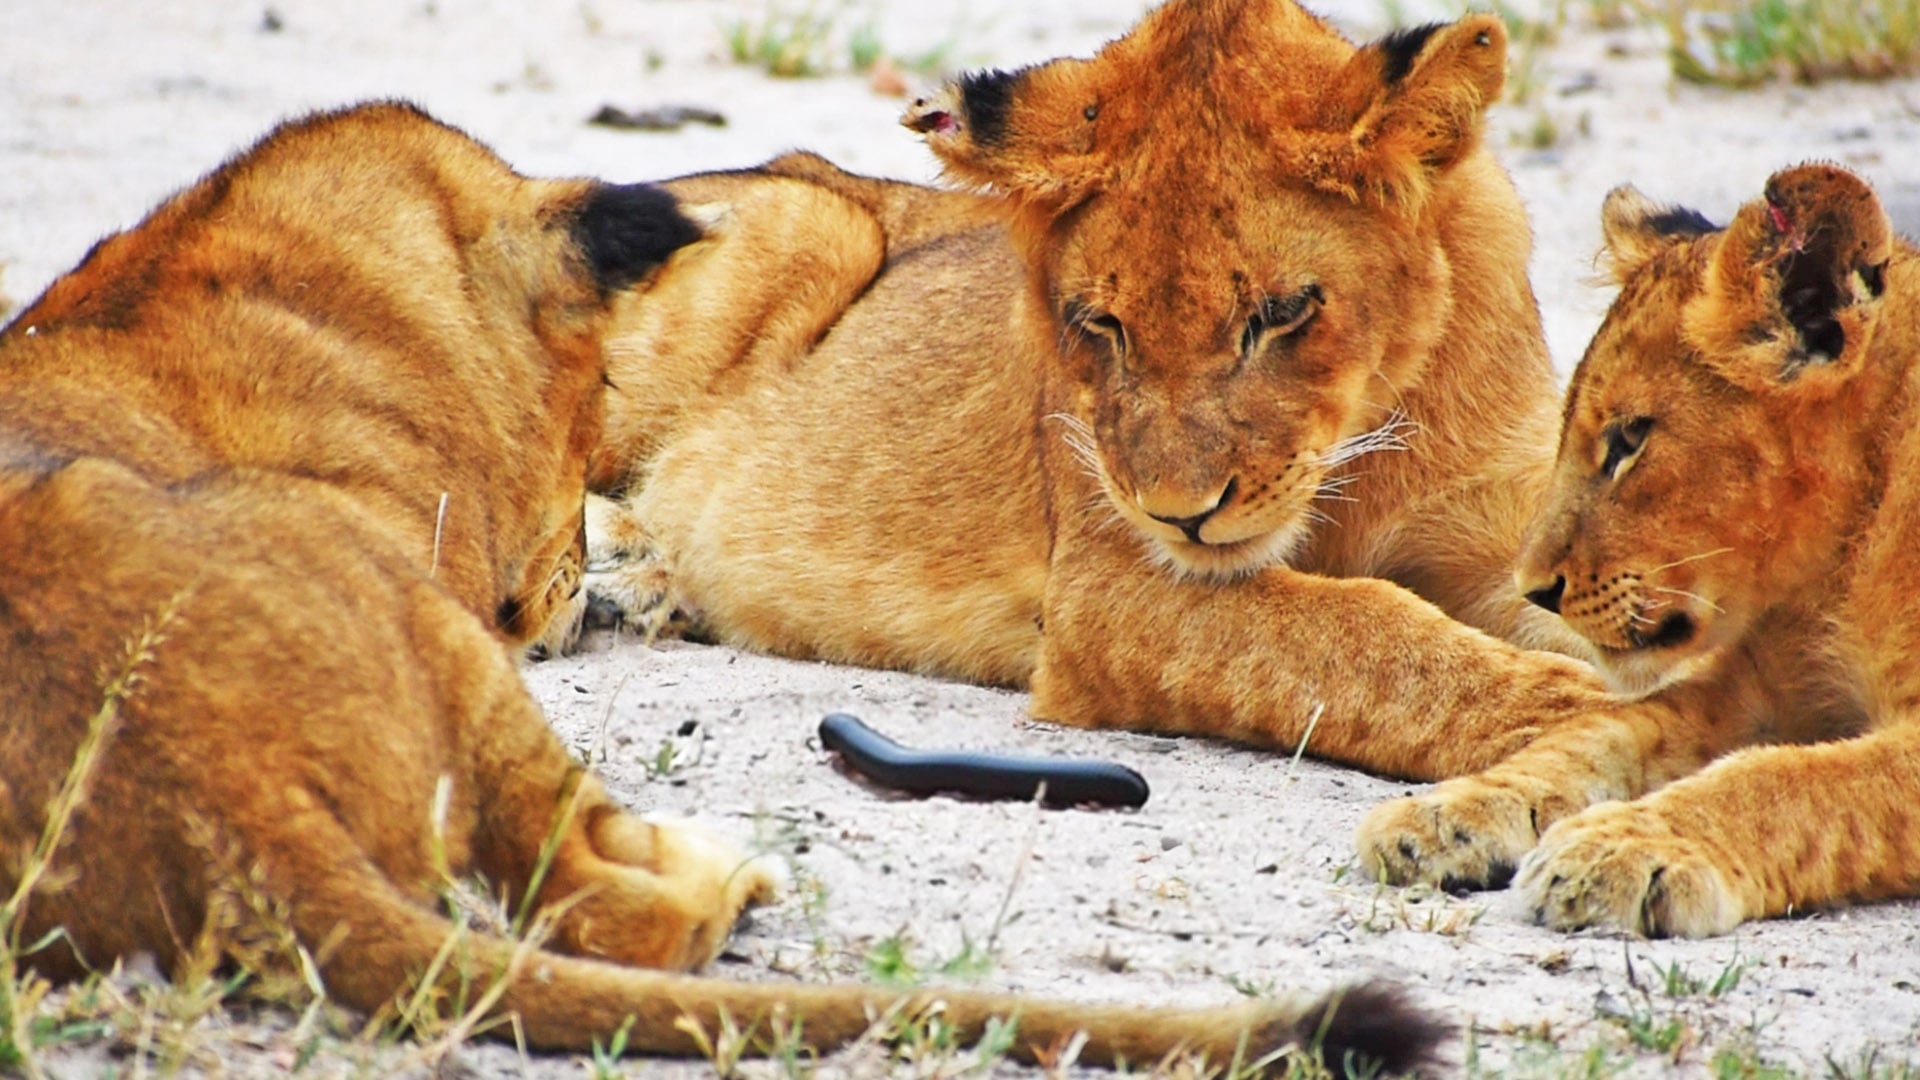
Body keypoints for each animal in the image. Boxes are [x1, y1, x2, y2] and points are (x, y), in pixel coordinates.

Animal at [0, 102, 1441, 1073]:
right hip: (414, 609)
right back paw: (732, 869)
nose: (574, 585)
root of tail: (227, 798)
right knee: (613, 907)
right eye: (591, 392)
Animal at [583, 0, 1625, 787]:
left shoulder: (1503, 541)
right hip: (813, 221)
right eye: (1102, 323)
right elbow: (1369, 635)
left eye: (1283, 313)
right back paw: (609, 567)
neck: (1366, 428)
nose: (1179, 515)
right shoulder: (1111, 590)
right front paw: (1595, 714)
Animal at [1360, 163, 1915, 938]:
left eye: (1629, 439)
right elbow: (1596, 736)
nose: (1534, 589)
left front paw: (1620, 850)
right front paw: (1447, 816)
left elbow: (1787, 780)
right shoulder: (1749, 688)